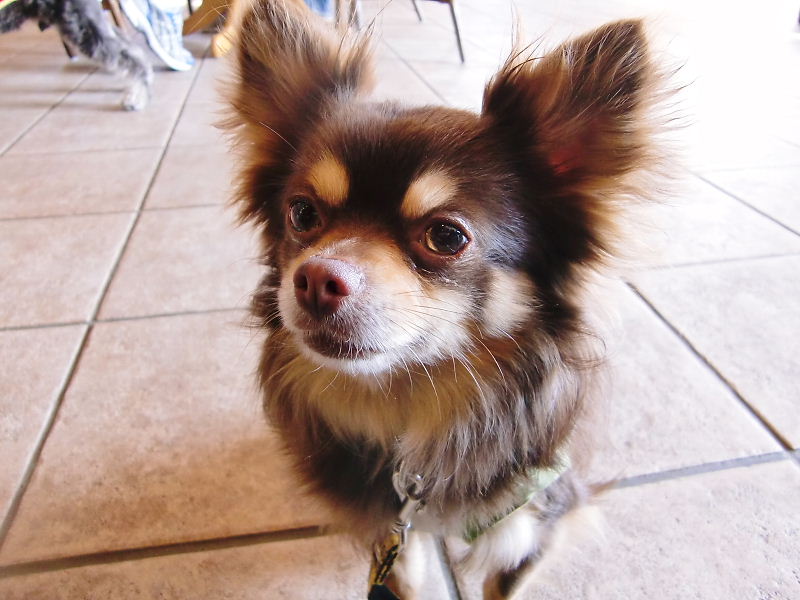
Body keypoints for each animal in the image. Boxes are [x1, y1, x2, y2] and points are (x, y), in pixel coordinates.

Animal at [223, 1, 666, 597]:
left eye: (447, 236)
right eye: (302, 214)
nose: (316, 277)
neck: (411, 409)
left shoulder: (533, 528)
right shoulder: (392, 535)